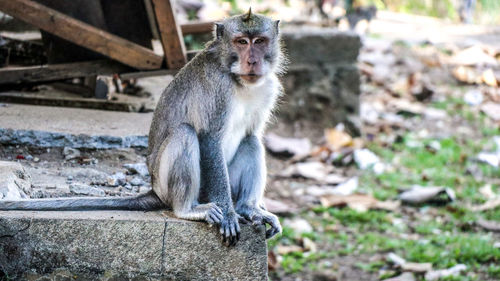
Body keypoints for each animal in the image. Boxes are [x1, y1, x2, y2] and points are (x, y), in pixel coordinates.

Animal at [0, 9, 284, 245]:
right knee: (185, 134)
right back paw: (188, 209)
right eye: (241, 42)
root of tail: (155, 190)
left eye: (259, 41)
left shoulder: (268, 86)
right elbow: (209, 139)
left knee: (250, 140)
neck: (237, 79)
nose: (252, 61)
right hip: (172, 186)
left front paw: (244, 209)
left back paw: (246, 207)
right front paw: (227, 213)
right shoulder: (218, 87)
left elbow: (251, 133)